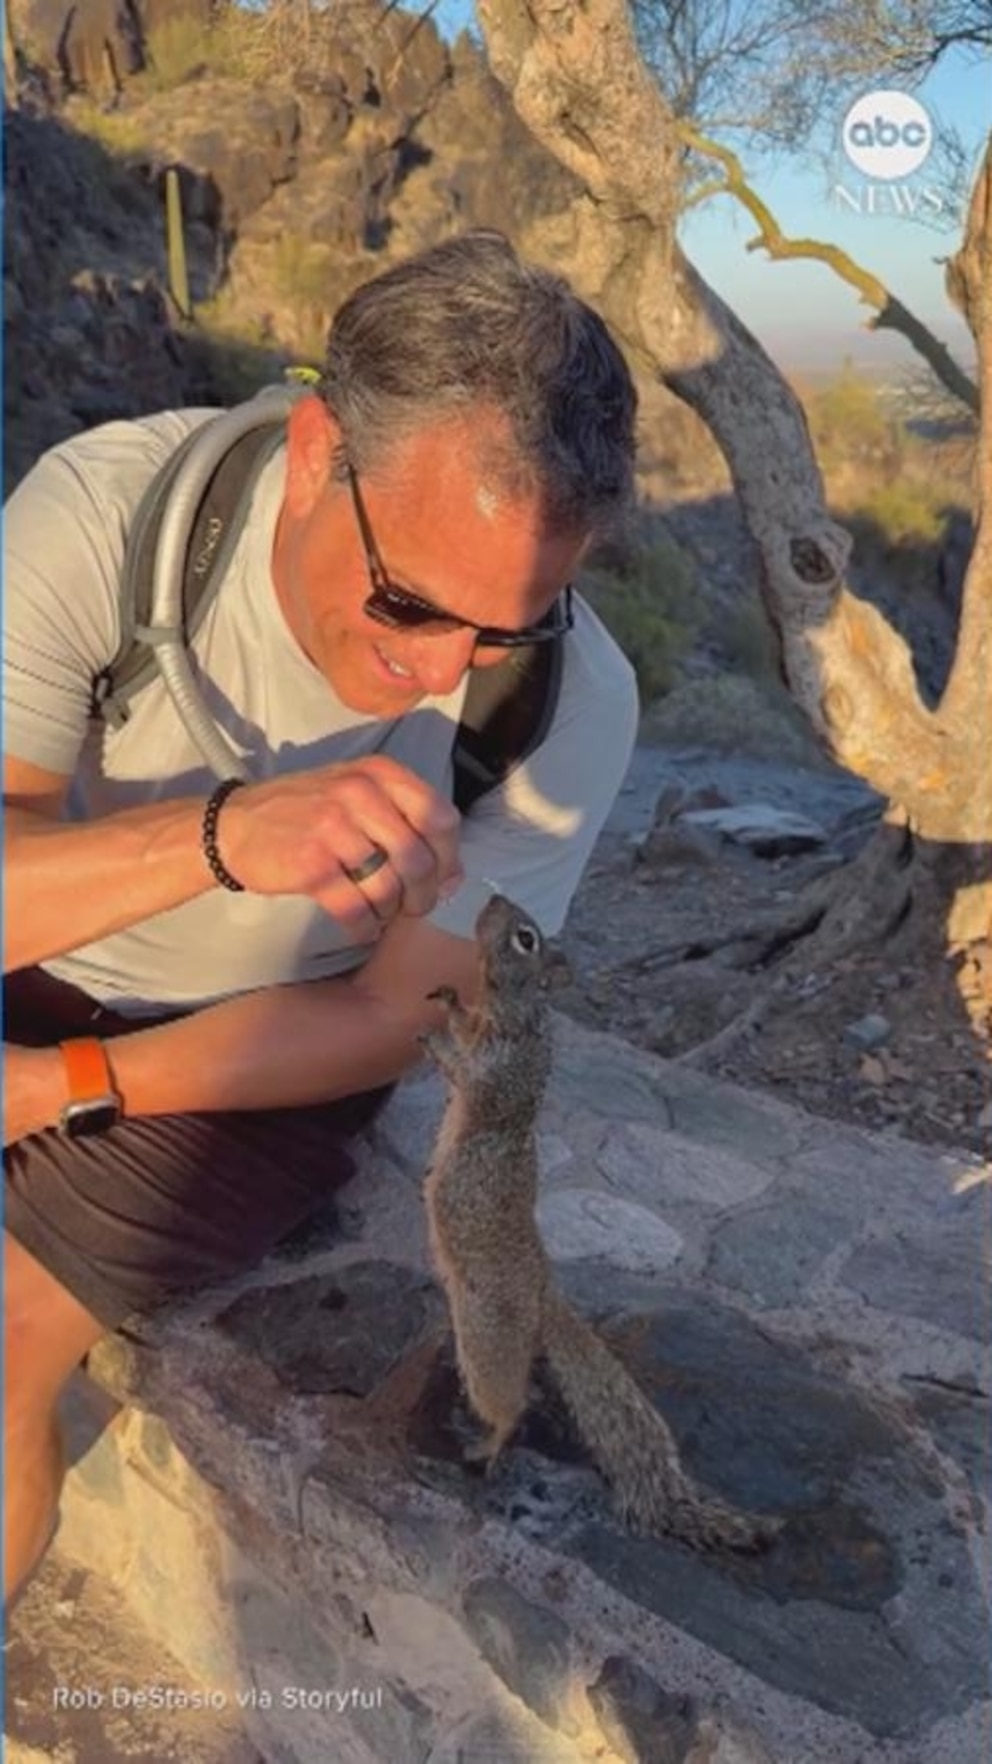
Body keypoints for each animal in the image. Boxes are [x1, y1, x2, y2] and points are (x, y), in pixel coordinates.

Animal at [421, 892, 779, 1554]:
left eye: (526, 939)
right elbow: (462, 1028)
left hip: (486, 1339)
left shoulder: (499, 1071)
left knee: (510, 1406)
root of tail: (542, 1295)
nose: (493, 897)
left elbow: (462, 1068)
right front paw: (449, 1000)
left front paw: (432, 1032)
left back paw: (484, 1445)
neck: (522, 1015)